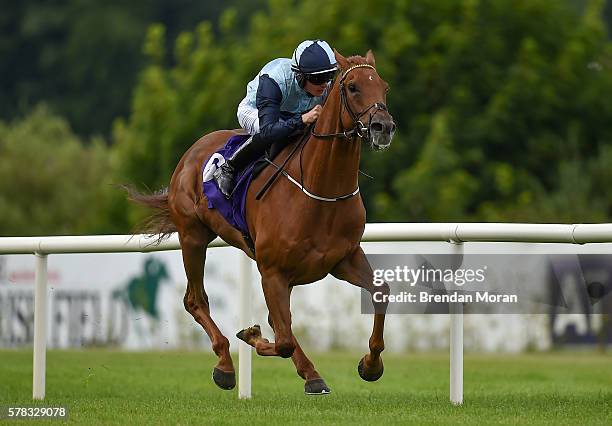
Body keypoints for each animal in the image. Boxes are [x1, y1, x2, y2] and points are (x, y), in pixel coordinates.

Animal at [129, 50, 396, 396]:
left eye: (384, 87)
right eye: (352, 87)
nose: (383, 127)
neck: (321, 190)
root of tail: (191, 152)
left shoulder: (343, 259)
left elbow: (380, 292)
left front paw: (370, 365)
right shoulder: (272, 271)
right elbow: (282, 341)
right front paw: (251, 336)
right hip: (193, 236)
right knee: (195, 300)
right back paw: (226, 365)